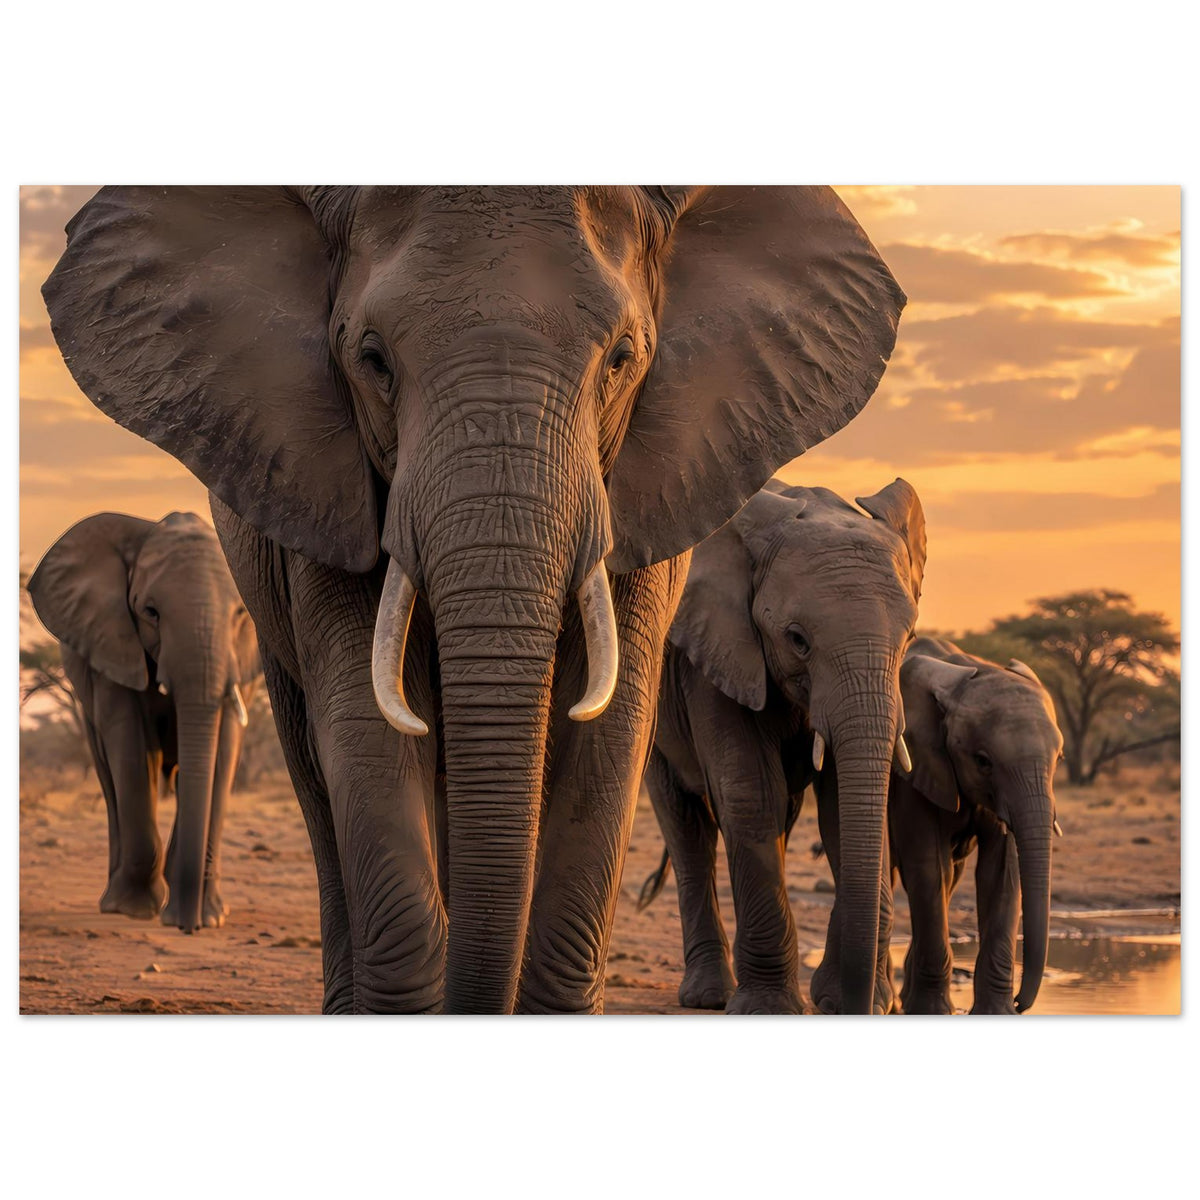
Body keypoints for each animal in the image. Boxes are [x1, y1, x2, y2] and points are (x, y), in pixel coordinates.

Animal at [27, 511, 261, 931]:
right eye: (150, 612)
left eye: (239, 613)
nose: (187, 926)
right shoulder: (110, 642)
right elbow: (130, 741)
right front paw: (135, 910)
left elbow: (224, 745)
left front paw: (212, 917)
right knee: (109, 774)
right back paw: (113, 901)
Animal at [639, 477, 926, 1013]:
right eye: (797, 639)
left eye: (910, 636)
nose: (862, 1006)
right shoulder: (716, 654)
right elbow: (750, 793)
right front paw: (766, 1009)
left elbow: (843, 808)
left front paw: (847, 1000)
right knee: (686, 826)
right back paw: (708, 996)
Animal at [885, 637, 1063, 1014]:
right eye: (983, 761)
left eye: (1059, 759)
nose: (1021, 1002)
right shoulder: (914, 769)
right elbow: (927, 865)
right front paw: (931, 1012)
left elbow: (1002, 871)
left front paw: (997, 1012)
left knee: (950, 878)